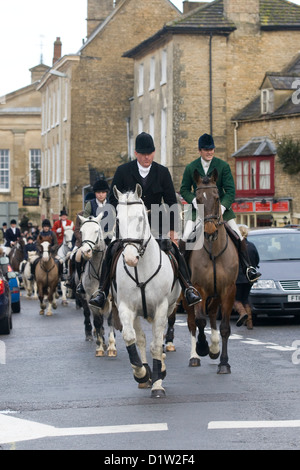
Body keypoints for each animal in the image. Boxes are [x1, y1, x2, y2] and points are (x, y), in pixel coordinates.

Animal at [77, 213, 119, 356]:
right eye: (81, 231)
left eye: (96, 231)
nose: (85, 252)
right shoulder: (91, 299)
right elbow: (97, 321)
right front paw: (100, 346)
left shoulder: (111, 299)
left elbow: (111, 320)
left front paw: (111, 347)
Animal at [110, 184, 179, 396]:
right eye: (118, 219)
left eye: (141, 218)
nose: (130, 258)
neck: (140, 269)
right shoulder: (126, 307)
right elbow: (131, 338)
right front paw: (141, 373)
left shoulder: (161, 308)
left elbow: (156, 344)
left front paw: (157, 383)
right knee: (140, 339)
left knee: (159, 338)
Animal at [186, 169, 238, 374]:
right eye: (198, 199)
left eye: (217, 198)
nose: (209, 231)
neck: (213, 250)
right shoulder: (199, 289)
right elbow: (200, 321)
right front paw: (202, 347)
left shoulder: (228, 290)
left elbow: (224, 327)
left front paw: (223, 362)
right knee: (192, 323)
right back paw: (194, 356)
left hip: (216, 295)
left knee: (214, 316)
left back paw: (215, 348)